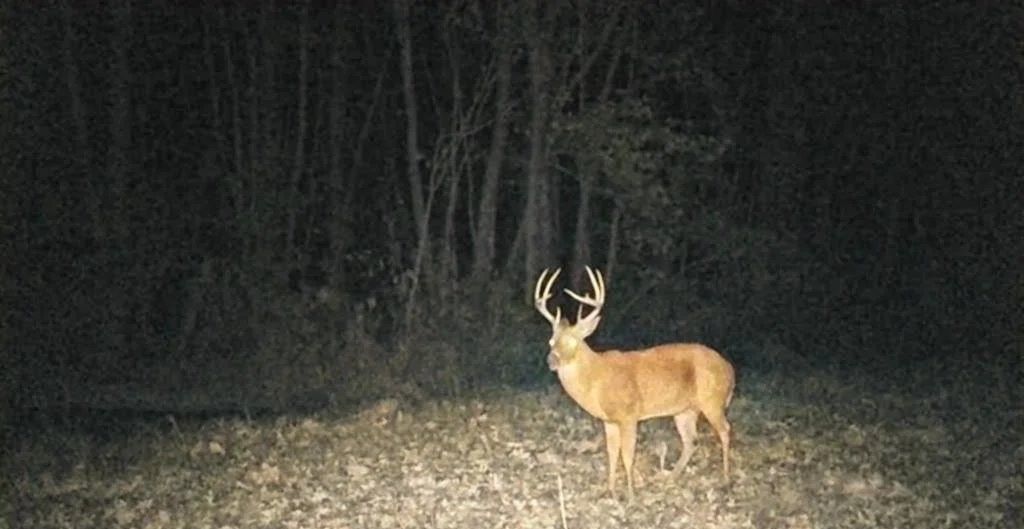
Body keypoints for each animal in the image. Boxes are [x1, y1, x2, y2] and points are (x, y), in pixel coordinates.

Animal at [534, 266, 735, 500]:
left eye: (573, 341)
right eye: (551, 341)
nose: (551, 360)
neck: (596, 378)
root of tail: (729, 369)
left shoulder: (629, 415)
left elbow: (627, 454)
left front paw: (630, 494)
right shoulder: (610, 420)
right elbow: (612, 454)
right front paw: (610, 490)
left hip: (712, 400)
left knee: (725, 431)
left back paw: (725, 479)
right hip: (685, 410)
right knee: (691, 440)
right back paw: (670, 477)